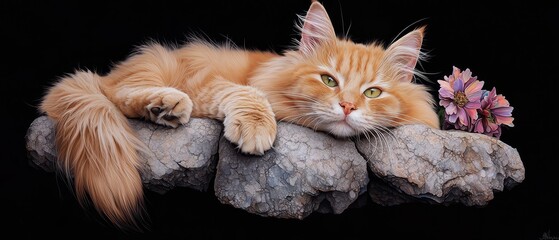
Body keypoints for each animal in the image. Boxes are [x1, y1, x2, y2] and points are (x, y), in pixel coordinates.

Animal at [41, 0, 440, 229]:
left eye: (372, 92)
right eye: (329, 80)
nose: (347, 106)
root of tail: (104, 73)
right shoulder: (209, 83)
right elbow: (248, 94)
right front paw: (256, 128)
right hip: (156, 67)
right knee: (117, 94)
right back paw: (167, 106)